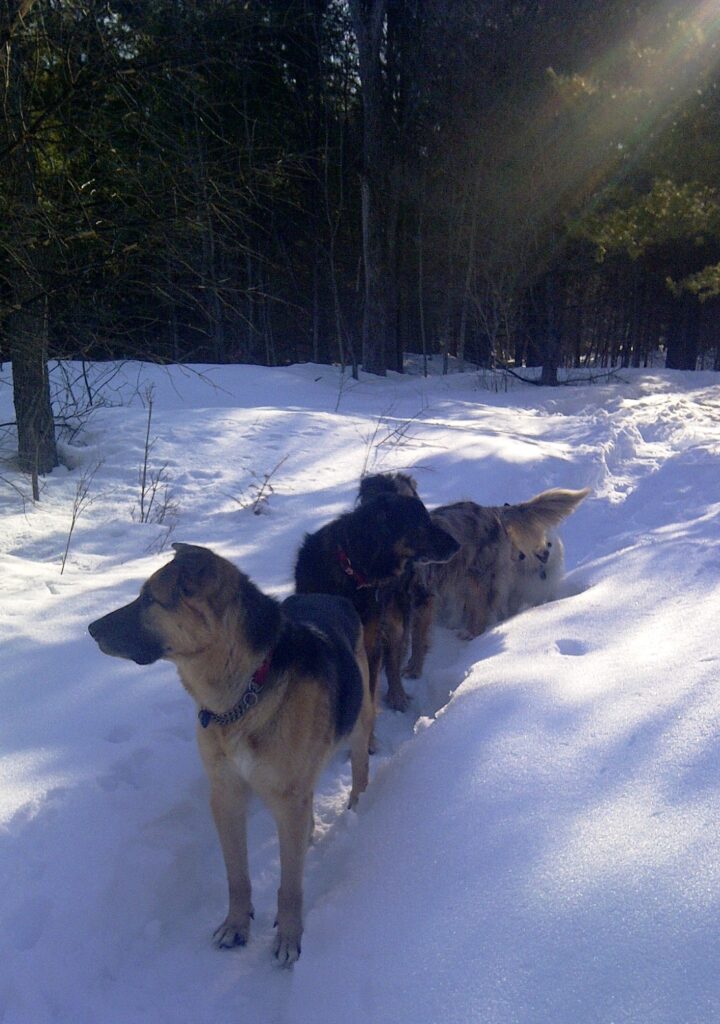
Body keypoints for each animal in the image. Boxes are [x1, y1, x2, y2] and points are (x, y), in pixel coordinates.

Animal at [87, 544, 374, 966]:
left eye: (149, 599)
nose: (91, 629)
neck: (244, 693)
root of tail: (328, 596)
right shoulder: (226, 796)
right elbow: (237, 876)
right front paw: (237, 926)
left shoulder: (287, 798)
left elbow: (290, 886)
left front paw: (289, 937)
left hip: (358, 723)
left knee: (360, 766)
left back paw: (357, 805)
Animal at [294, 491, 458, 716]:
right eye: (423, 523)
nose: (457, 546)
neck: (354, 570)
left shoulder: (371, 641)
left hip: (395, 620)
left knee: (393, 662)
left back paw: (398, 696)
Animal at [405, 483, 589, 675]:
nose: (543, 554)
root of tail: (491, 510)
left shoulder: (421, 598)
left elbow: (417, 641)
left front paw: (412, 671)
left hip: (478, 577)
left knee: (480, 612)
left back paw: (471, 633)